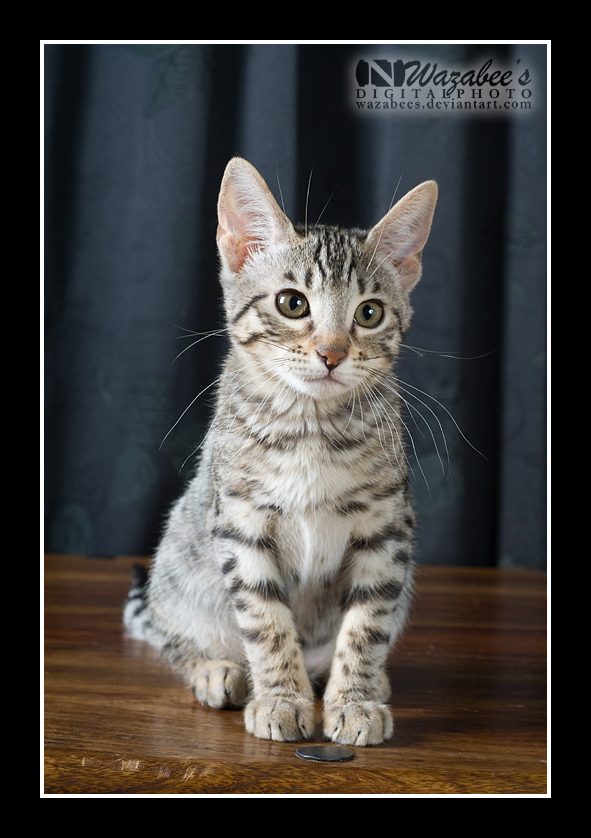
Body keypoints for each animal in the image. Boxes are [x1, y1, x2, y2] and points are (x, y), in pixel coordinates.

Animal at [123, 159, 440, 748]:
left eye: (369, 313)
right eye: (293, 304)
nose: (332, 352)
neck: (310, 429)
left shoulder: (387, 530)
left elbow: (367, 625)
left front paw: (354, 701)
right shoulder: (240, 522)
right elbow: (265, 620)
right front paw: (281, 699)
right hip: (177, 566)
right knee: (176, 639)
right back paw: (215, 670)